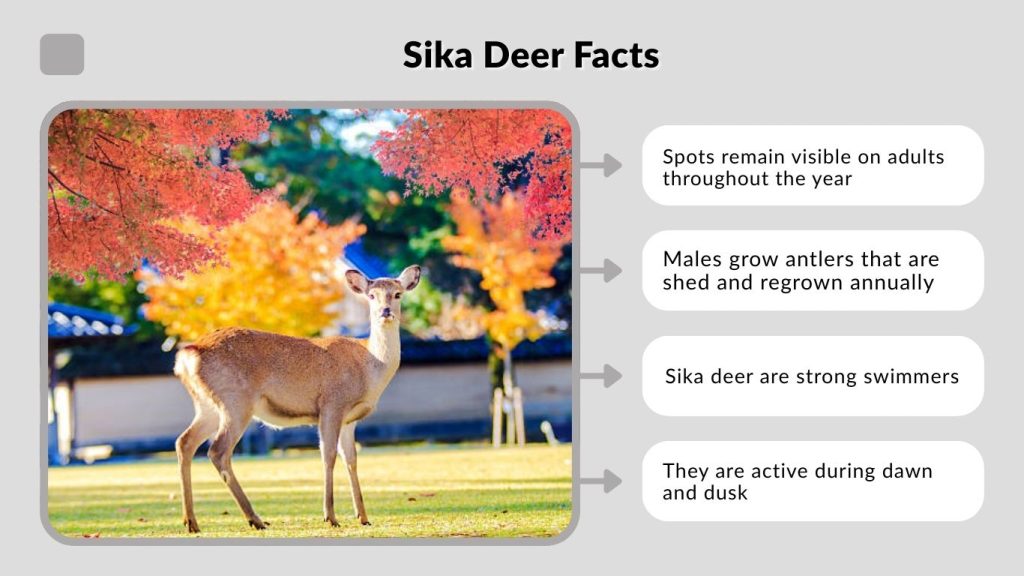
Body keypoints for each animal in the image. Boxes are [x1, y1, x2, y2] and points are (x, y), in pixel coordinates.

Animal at [172, 265, 422, 533]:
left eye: (397, 294)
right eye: (371, 295)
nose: (386, 312)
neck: (370, 367)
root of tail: (187, 356)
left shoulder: (350, 419)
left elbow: (351, 459)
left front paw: (363, 517)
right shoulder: (332, 403)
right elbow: (328, 455)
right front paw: (330, 516)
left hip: (207, 406)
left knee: (184, 442)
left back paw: (191, 522)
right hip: (235, 400)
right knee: (218, 450)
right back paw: (255, 519)